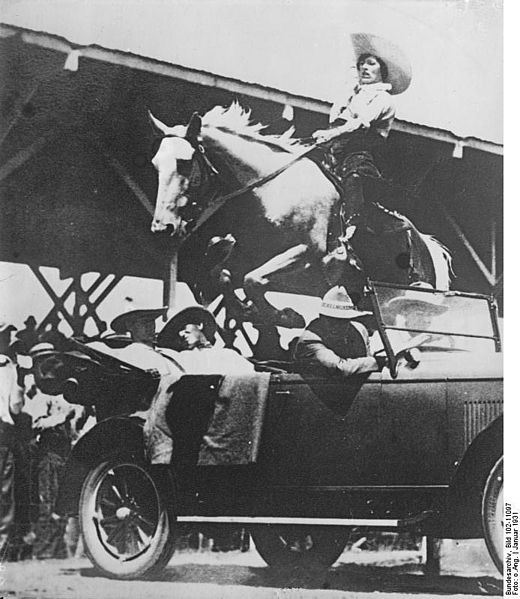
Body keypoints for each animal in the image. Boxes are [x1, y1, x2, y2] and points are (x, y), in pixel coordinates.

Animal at [147, 103, 450, 328]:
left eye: (184, 163)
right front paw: (249, 311)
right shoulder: (249, 256)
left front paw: (285, 317)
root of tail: (431, 249)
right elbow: (222, 274)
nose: (163, 228)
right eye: (155, 164)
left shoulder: (306, 251)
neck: (272, 190)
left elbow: (253, 281)